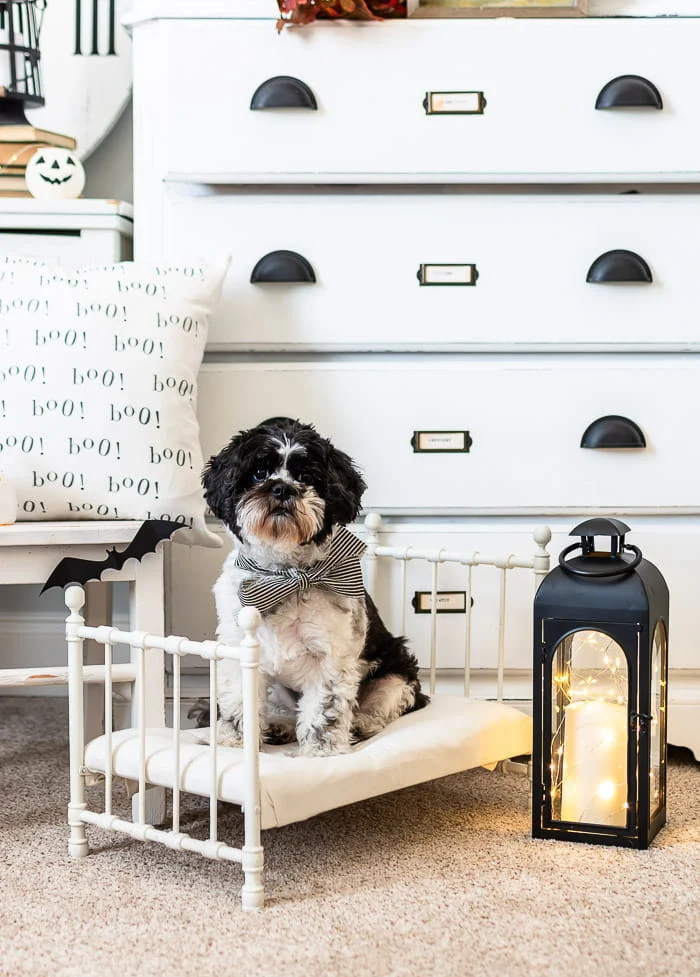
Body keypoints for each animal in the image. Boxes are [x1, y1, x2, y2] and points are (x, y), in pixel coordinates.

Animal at [194, 412, 430, 756]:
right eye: (258, 473)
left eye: (307, 476)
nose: (281, 489)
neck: (285, 577)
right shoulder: (239, 650)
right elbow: (240, 703)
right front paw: (235, 743)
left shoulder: (331, 657)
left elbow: (324, 709)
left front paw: (320, 752)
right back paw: (278, 728)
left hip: (396, 671)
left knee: (384, 703)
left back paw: (360, 725)